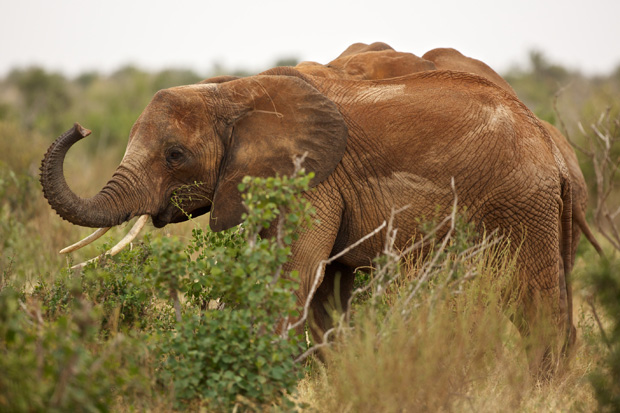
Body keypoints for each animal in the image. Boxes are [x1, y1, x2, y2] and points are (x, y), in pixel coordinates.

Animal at [42, 63, 572, 374]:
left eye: (175, 155)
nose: (80, 128)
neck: (233, 92)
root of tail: (549, 139)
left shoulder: (314, 180)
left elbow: (293, 275)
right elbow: (326, 295)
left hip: (521, 198)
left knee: (533, 297)